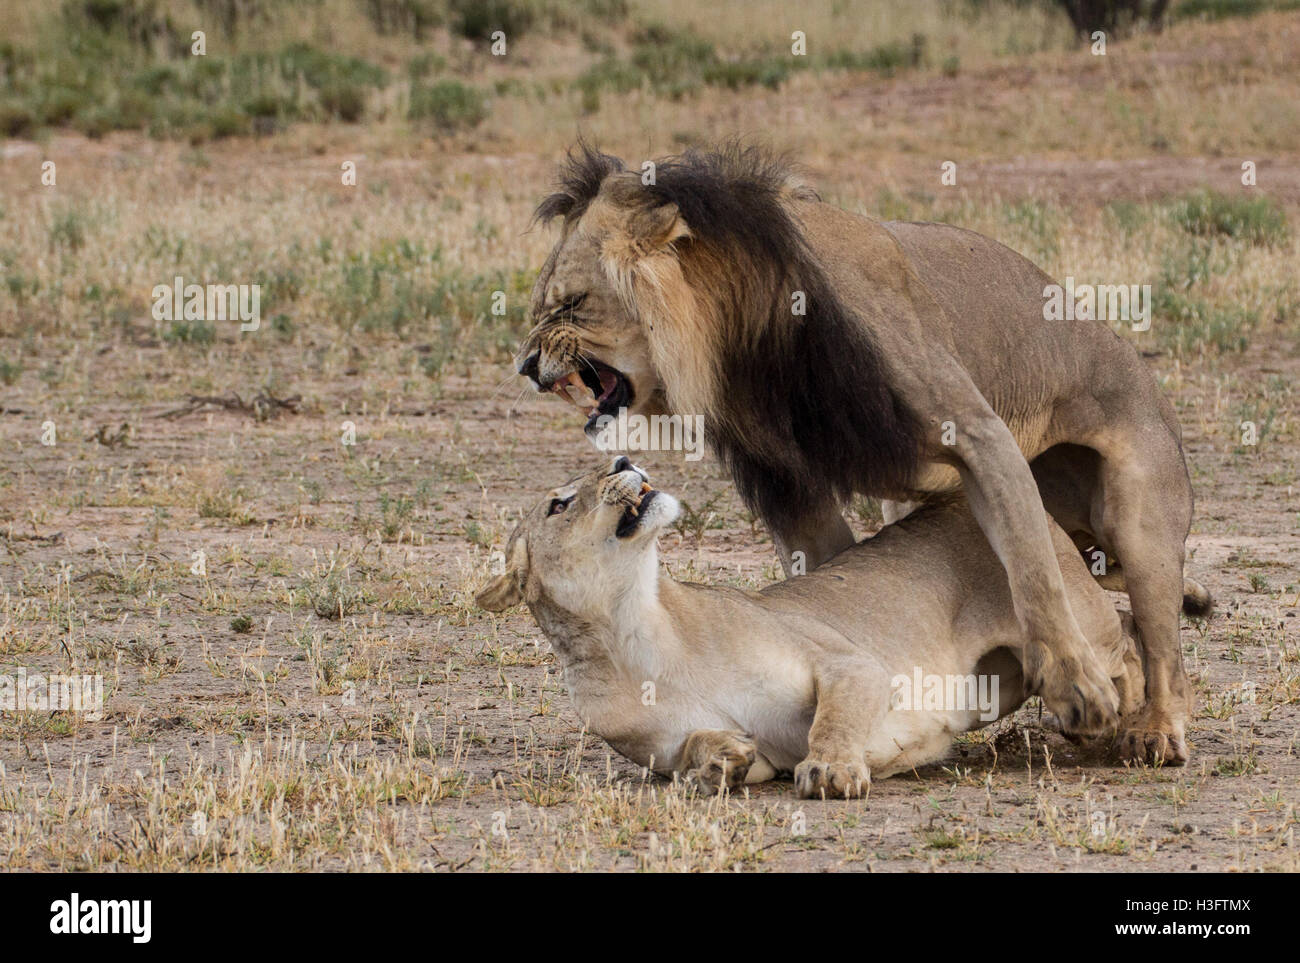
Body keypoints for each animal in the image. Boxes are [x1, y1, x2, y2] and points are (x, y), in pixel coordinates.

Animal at [476, 458, 1149, 798]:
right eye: (560, 503)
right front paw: (716, 759)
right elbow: (699, 753)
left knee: (1125, 637)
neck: (632, 627)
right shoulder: (680, 752)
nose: (622, 458)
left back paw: (1131, 719)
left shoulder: (849, 663)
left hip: (1071, 625)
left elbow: (834, 717)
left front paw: (830, 770)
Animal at [516, 142, 1207, 764]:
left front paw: (1076, 688)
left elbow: (1032, 568)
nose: (525, 366)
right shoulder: (788, 482)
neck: (749, 332)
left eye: (571, 304)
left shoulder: (981, 435)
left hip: (1138, 515)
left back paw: (1154, 732)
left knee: (1158, 640)